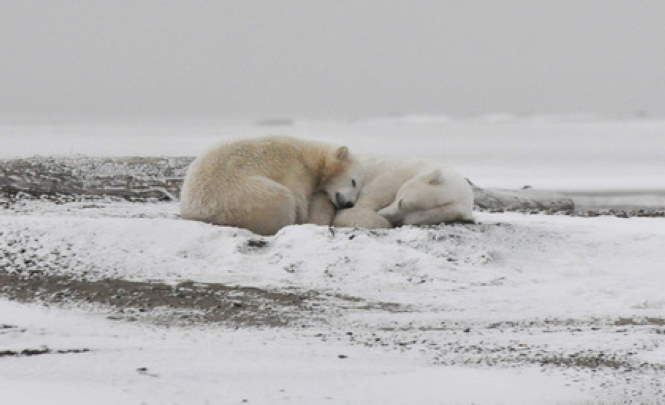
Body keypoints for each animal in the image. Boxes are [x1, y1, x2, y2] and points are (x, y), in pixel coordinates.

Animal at [179, 136, 360, 235]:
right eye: (354, 182)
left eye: (357, 190)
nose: (349, 203)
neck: (309, 156)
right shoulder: (295, 170)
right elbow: (299, 201)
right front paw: (306, 217)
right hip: (242, 194)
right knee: (282, 199)